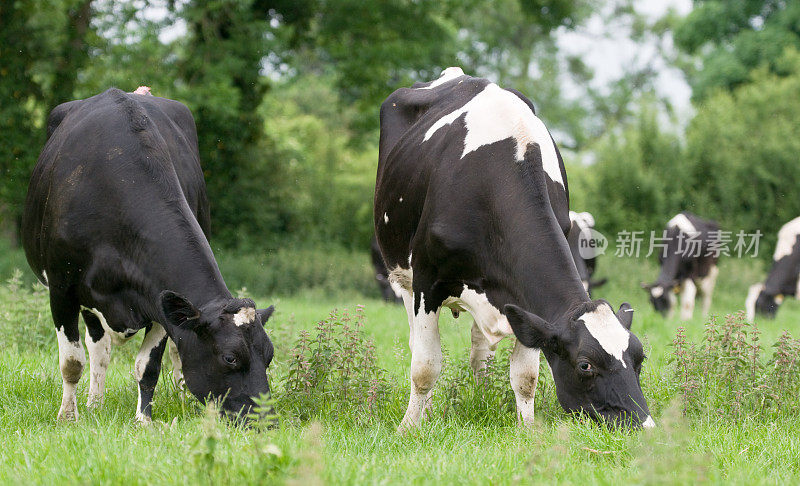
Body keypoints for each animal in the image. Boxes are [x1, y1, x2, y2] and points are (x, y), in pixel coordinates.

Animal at [21, 87, 276, 422]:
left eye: (269, 355)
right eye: (230, 357)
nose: (267, 420)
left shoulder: (158, 298)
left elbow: (149, 367)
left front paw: (144, 420)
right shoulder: (62, 288)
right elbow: (72, 361)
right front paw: (67, 417)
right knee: (98, 348)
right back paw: (93, 404)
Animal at [374, 67, 648, 430]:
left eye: (640, 357)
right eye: (585, 365)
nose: (643, 424)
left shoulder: (526, 305)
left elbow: (525, 375)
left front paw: (528, 429)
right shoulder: (426, 280)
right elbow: (425, 366)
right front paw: (409, 427)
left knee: (480, 352)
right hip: (402, 276)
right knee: (418, 343)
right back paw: (426, 411)